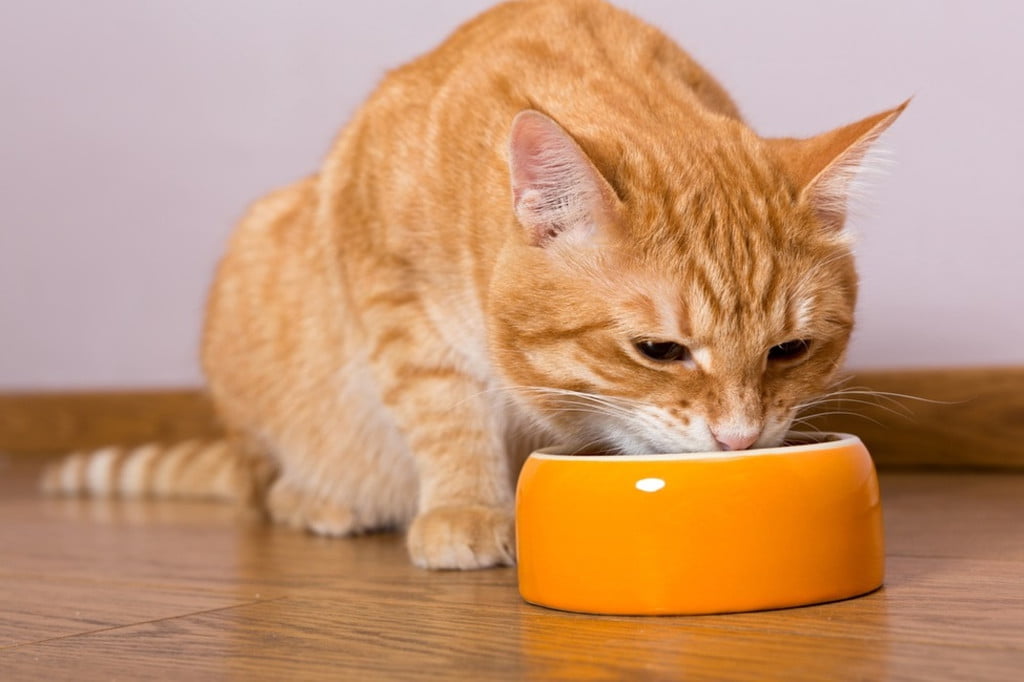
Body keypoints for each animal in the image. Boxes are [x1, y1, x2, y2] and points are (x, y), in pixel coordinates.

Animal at [41, 0, 905, 569]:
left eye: (790, 350)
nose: (739, 440)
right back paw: (320, 501)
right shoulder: (393, 298)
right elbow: (443, 408)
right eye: (659, 350)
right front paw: (464, 508)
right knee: (264, 489)